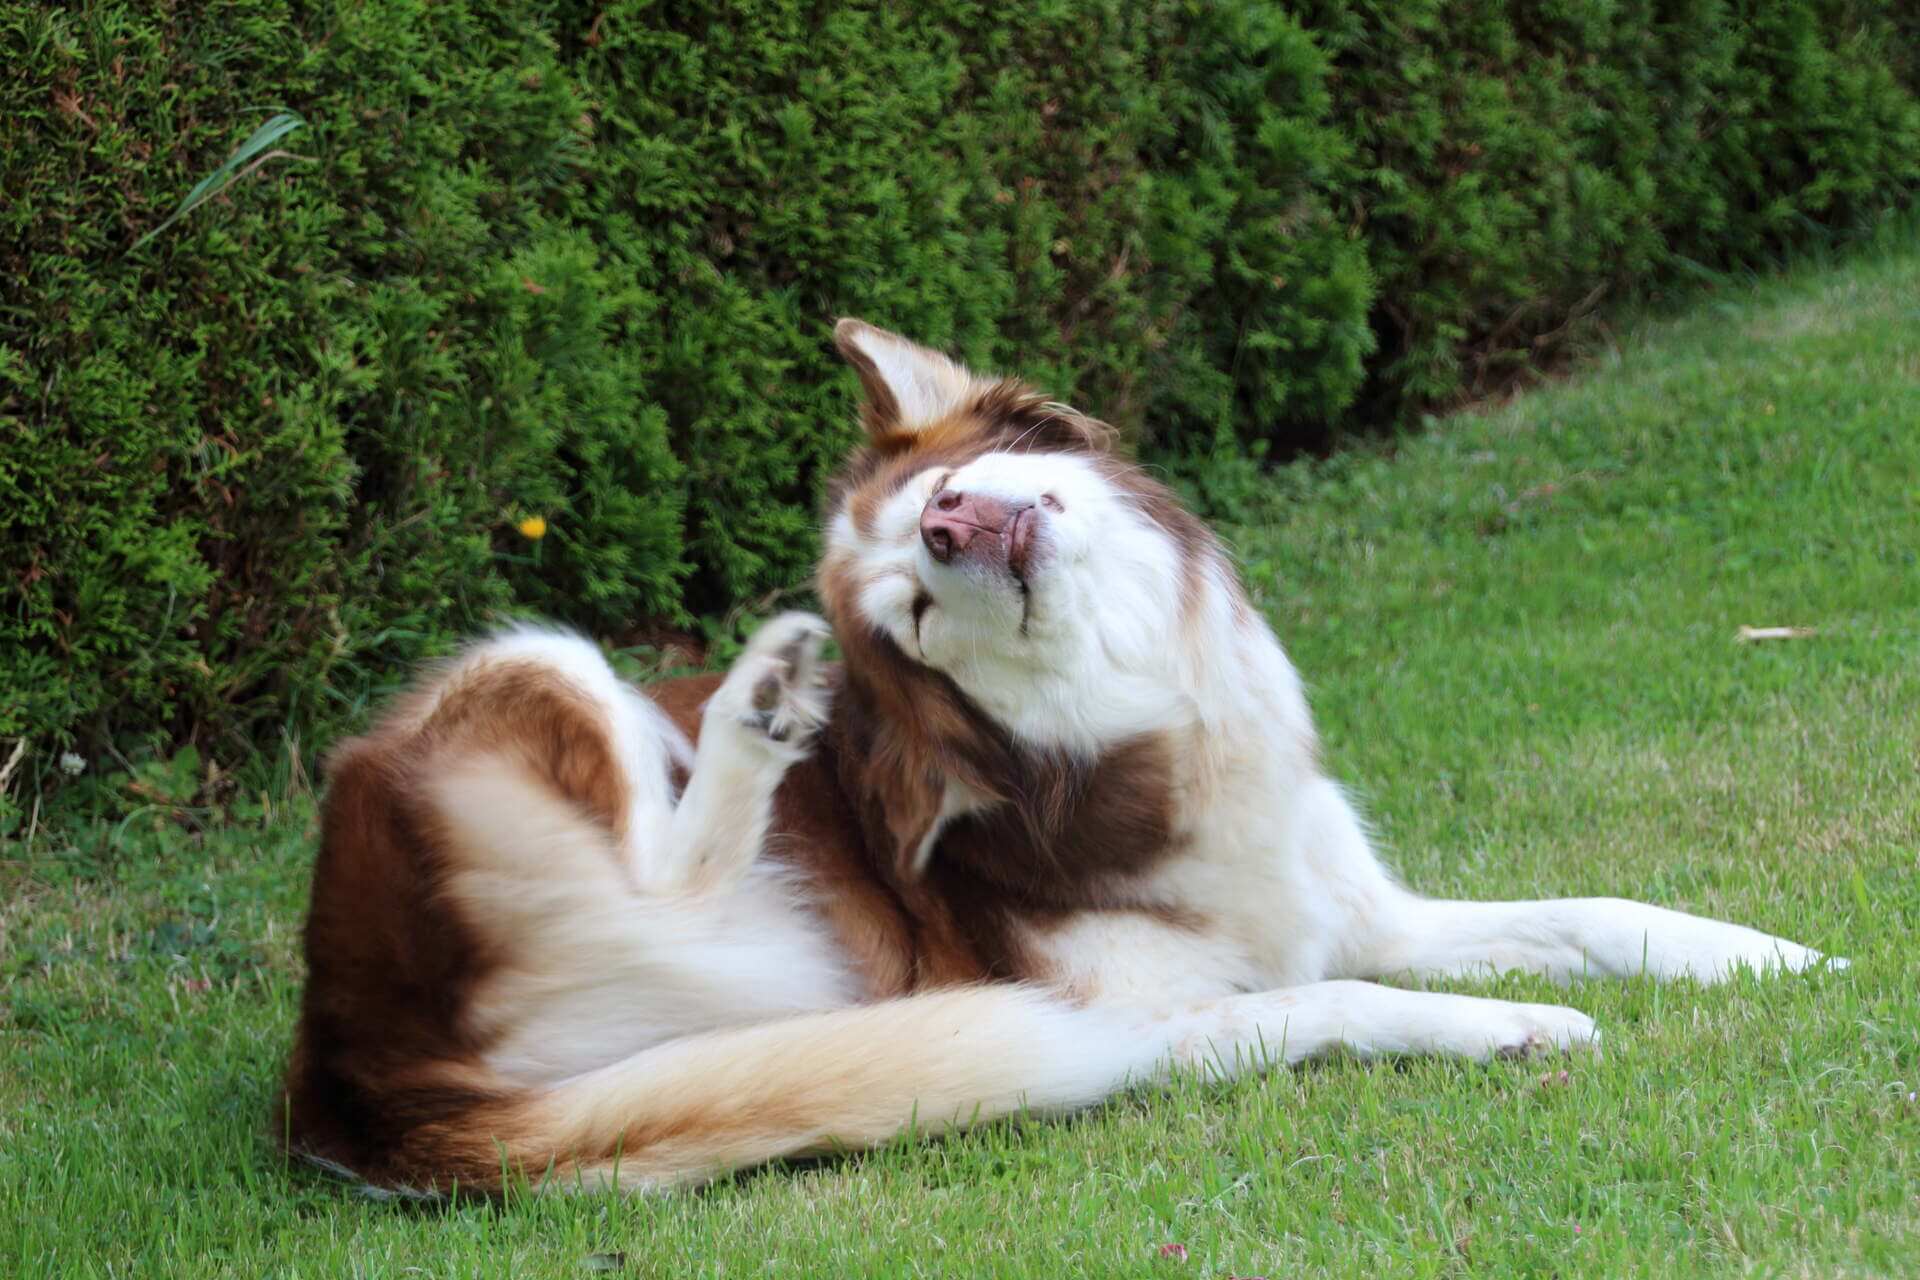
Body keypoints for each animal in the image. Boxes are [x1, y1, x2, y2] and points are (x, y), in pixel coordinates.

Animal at [280, 318, 1827, 1189]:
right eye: (913, 609)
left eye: (940, 497)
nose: (957, 527)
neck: (1136, 738)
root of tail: (353, 1075)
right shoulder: (1160, 1012)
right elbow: (1347, 1004)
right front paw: (1506, 1027)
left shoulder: (1350, 904)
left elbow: (1588, 909)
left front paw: (1763, 954)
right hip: (545, 667)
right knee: (672, 862)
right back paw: (757, 711)